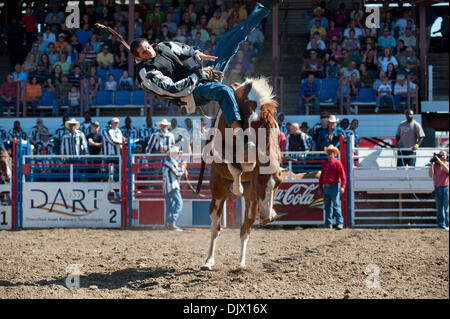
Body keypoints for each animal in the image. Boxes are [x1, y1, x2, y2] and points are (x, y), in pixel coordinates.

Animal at [200, 77, 282, 270]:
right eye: (259, 181)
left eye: (278, 185)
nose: (268, 218)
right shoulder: (220, 152)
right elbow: (236, 166)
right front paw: (238, 188)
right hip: (218, 192)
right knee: (215, 228)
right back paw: (208, 261)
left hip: (252, 203)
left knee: (245, 229)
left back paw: (241, 263)